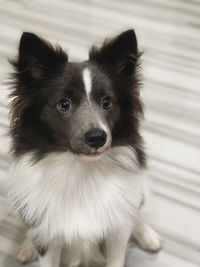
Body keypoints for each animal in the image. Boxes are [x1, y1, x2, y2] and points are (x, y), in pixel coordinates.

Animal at [8, 29, 161, 267]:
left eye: (107, 101)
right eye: (64, 104)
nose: (98, 138)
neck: (81, 170)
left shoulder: (116, 233)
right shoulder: (49, 237)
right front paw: (31, 246)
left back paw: (148, 236)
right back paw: (27, 246)